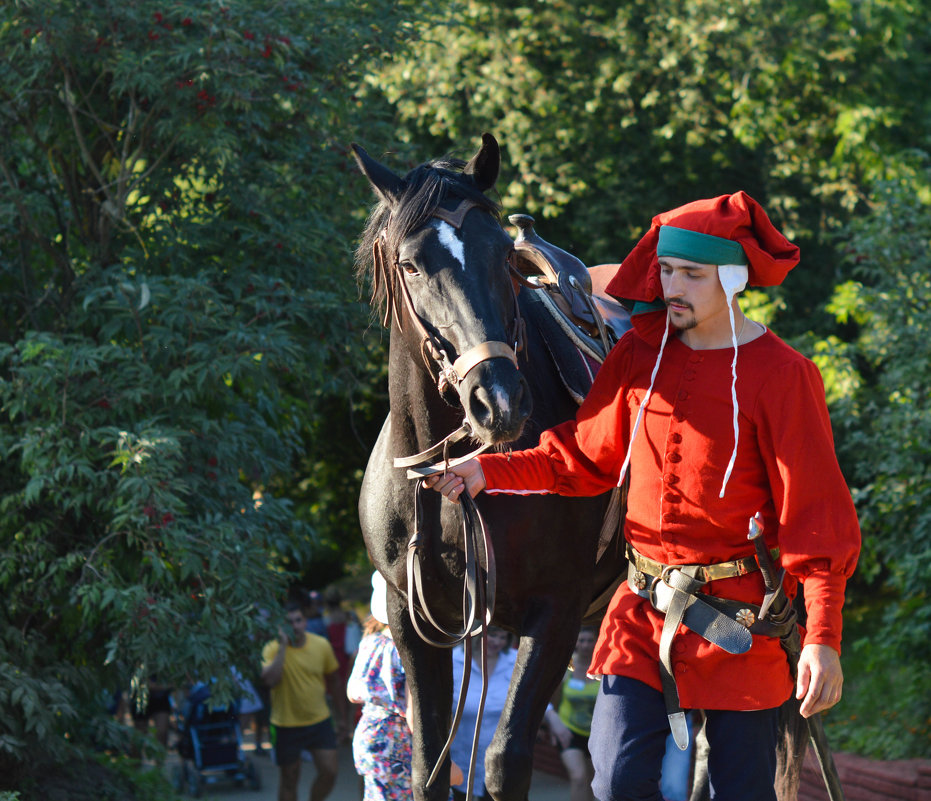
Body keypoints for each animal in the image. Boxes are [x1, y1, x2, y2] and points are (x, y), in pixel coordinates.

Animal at [354, 133, 628, 800]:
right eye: (411, 264)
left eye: (503, 256)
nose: (498, 401)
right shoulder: (411, 619)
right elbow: (428, 761)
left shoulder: (554, 611)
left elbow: (505, 759)